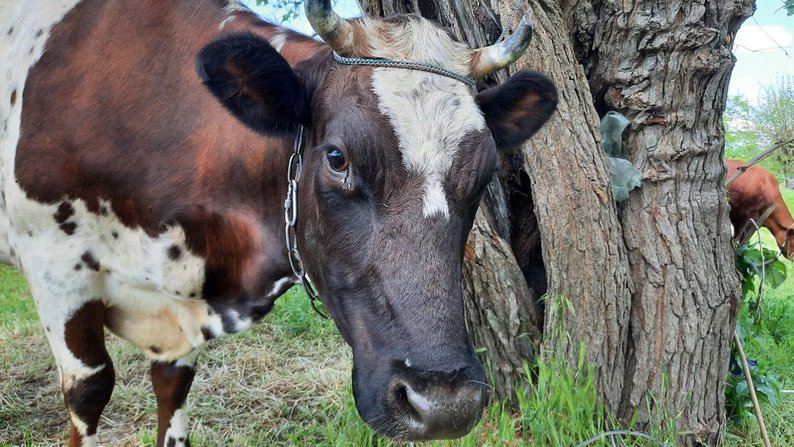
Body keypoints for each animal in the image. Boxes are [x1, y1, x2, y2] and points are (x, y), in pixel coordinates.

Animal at [0, 0, 556, 444]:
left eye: (485, 172)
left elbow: (172, 390)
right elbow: (90, 389)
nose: (444, 404)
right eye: (337, 157)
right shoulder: (55, 264)